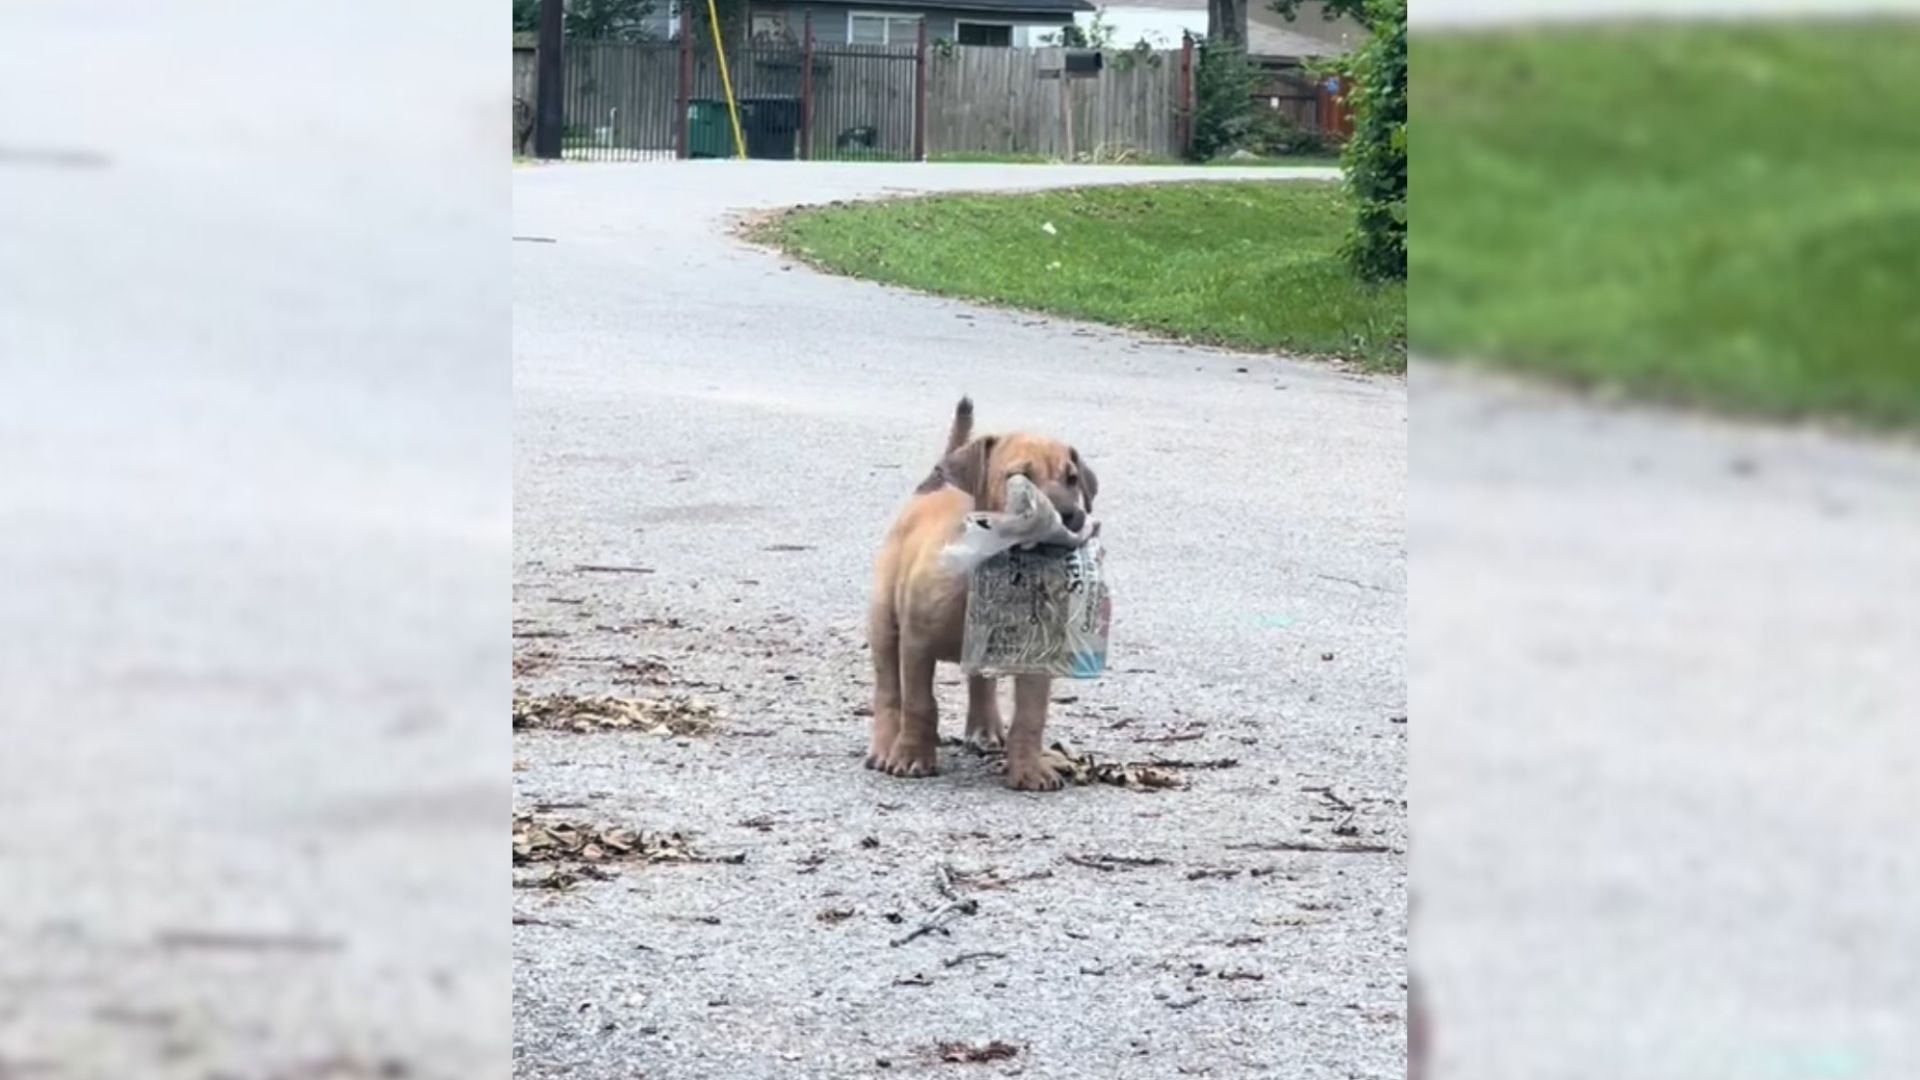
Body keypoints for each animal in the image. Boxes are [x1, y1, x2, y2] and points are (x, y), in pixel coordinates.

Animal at [867, 395, 1105, 791]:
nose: (1069, 515)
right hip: (884, 621)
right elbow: (919, 704)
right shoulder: (917, 643)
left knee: (981, 682)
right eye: (1018, 478)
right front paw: (913, 756)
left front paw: (1028, 769)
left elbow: (1030, 717)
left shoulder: (1036, 656)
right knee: (888, 691)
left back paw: (985, 729)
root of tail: (934, 485)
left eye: (1072, 479)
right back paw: (885, 746)